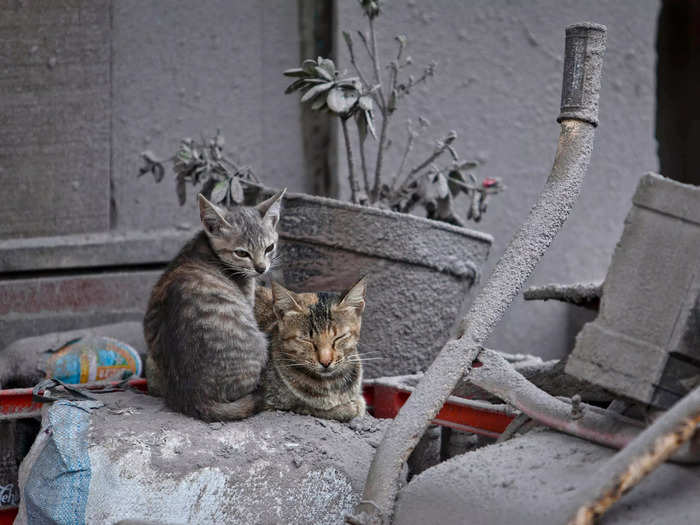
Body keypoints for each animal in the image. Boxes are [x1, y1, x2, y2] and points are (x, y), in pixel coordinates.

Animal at [144, 189, 286, 422]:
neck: (205, 247)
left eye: (269, 248)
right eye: (242, 253)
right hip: (259, 343)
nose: (261, 268)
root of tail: (194, 396)